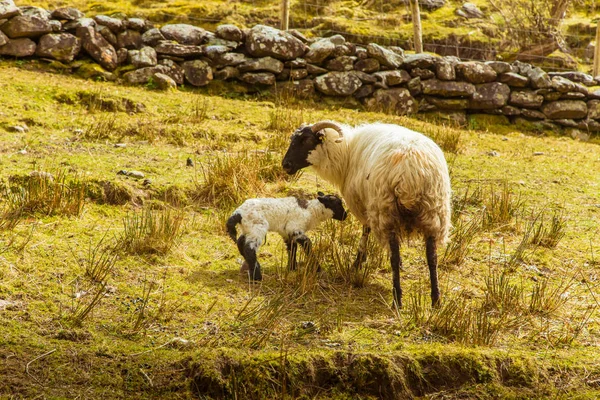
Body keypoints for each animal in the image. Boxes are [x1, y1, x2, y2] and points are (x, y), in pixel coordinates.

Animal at [282, 121, 450, 306]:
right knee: (432, 257)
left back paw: (397, 298)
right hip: (433, 213)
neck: (346, 152)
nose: (286, 165)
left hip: (385, 210)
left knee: (394, 254)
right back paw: (436, 299)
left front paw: (358, 261)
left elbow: (365, 230)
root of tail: (411, 172)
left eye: (305, 140)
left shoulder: (362, 204)